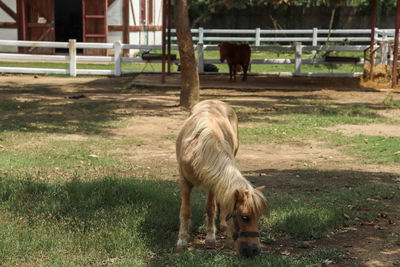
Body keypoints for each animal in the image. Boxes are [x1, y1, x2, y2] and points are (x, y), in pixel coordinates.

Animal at [175, 100, 268, 258]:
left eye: (259, 216)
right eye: (245, 217)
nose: (254, 250)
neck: (198, 149)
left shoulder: (212, 183)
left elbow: (211, 208)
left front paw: (210, 237)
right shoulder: (185, 182)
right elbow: (185, 210)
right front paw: (182, 240)